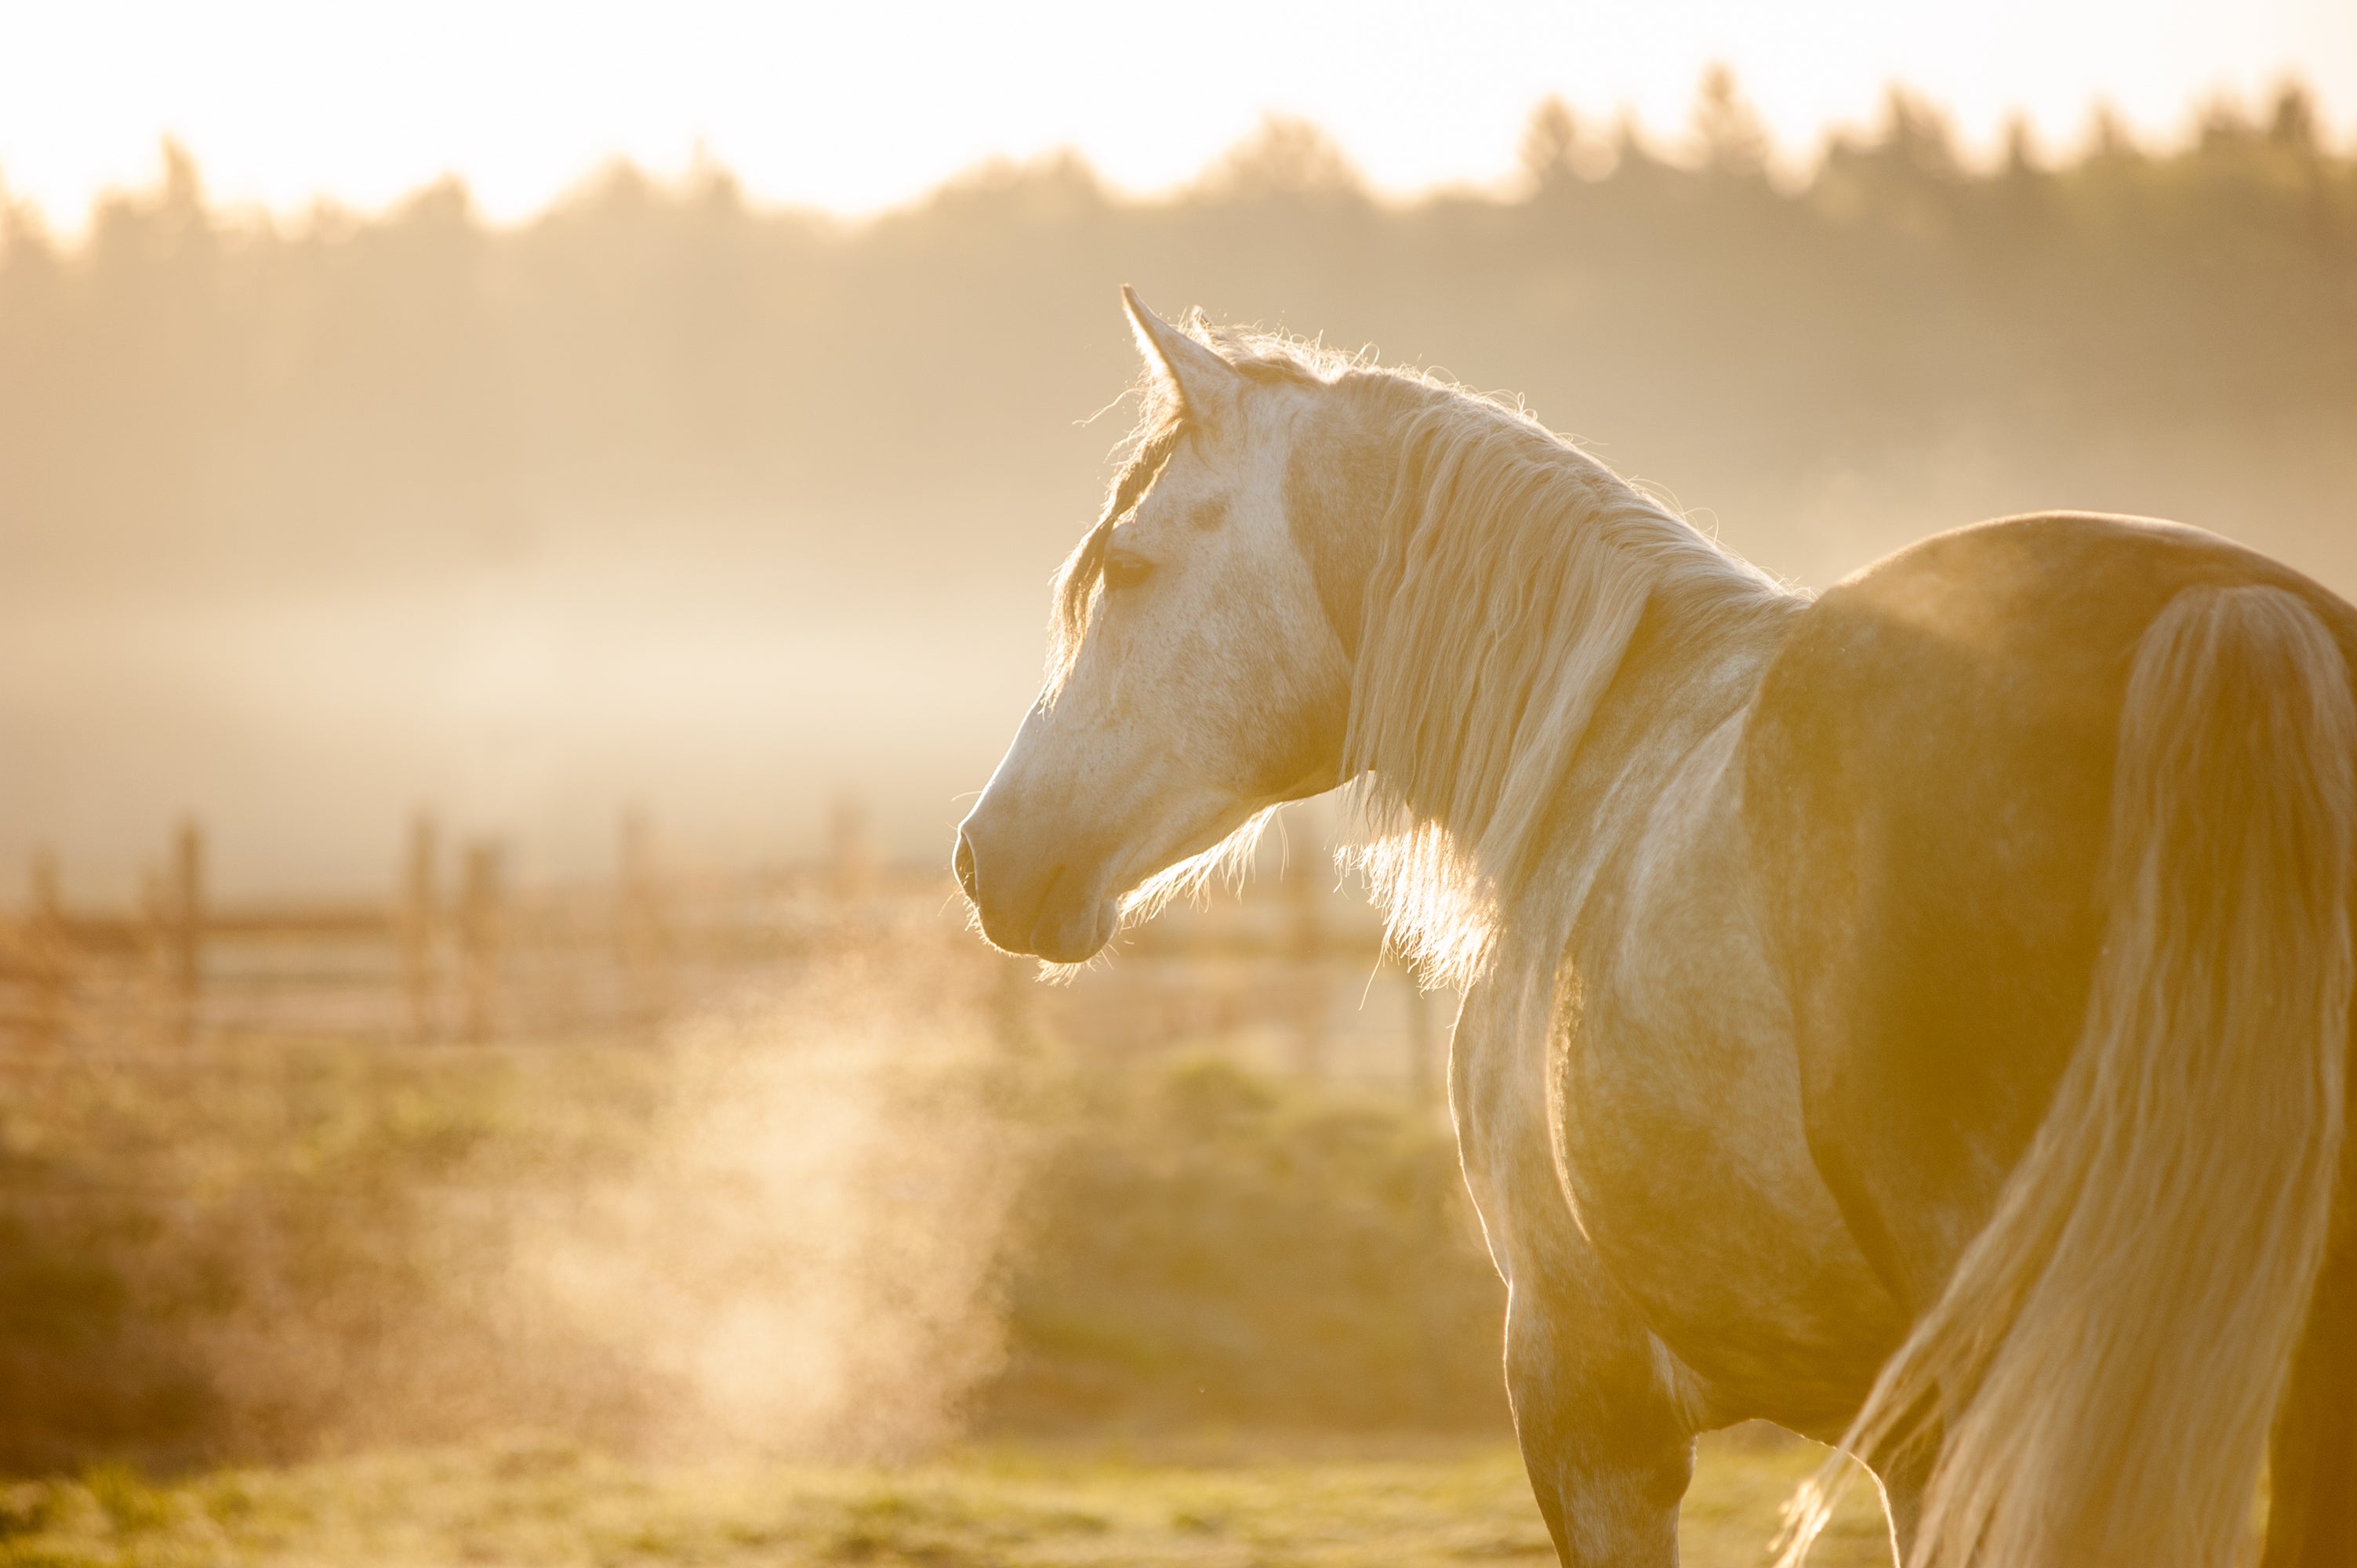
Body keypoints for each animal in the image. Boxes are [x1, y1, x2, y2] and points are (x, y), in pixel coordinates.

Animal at [947, 293, 2347, 1565]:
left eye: (1125, 567)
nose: (984, 857)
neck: (1592, 740)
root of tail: (2226, 612)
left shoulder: (1586, 1400)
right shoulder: (1901, 1442)